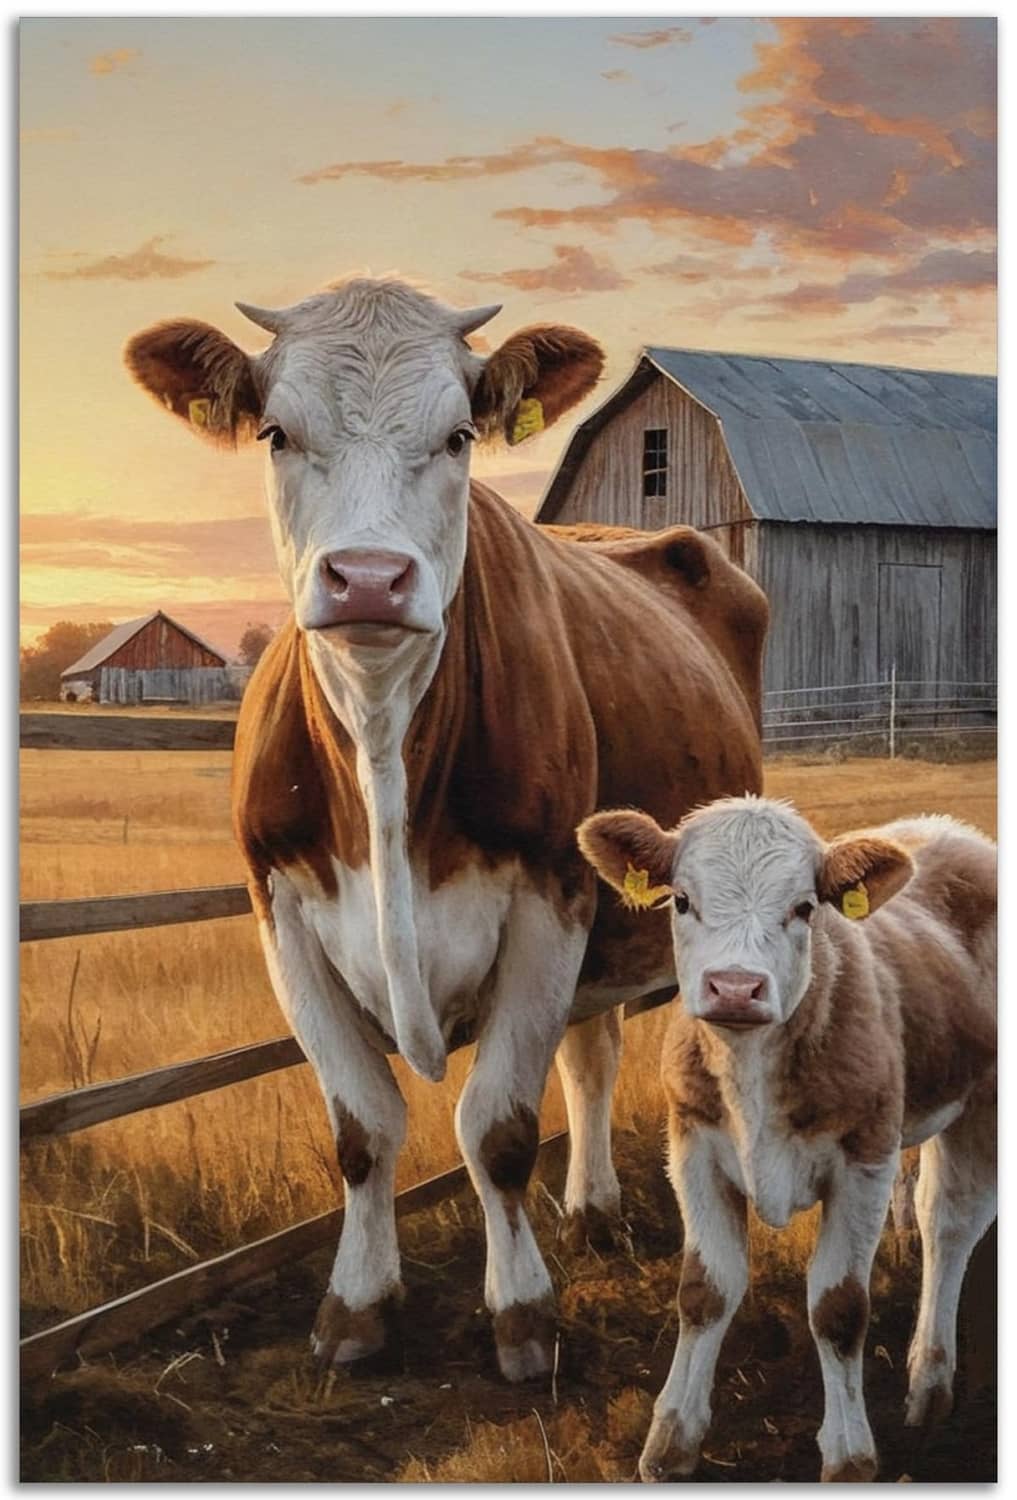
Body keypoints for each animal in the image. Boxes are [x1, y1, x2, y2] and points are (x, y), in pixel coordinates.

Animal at [124, 277, 767, 1382]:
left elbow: (497, 1128)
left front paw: (522, 1318)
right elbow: (362, 1128)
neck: (385, 748)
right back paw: (591, 1208)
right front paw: (355, 1307)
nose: (368, 577)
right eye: (276, 431)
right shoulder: (280, 912)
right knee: (591, 1054)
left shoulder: (552, 896)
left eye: (461, 434)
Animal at [578, 797, 996, 1481]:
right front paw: (670, 1440)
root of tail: (949, 831)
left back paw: (929, 1381)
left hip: (981, 1104)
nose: (735, 987)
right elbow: (704, 1289)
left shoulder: (863, 1159)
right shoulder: (692, 1146)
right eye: (681, 901)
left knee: (951, 1224)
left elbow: (839, 1307)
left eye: (804, 907)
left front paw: (849, 1455)